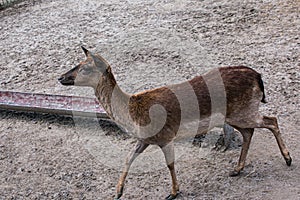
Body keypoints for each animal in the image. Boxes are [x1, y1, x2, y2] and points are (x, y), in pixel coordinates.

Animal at [58, 46, 290, 198]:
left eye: (85, 68)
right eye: (77, 64)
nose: (61, 77)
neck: (132, 114)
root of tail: (258, 76)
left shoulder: (165, 136)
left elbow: (169, 164)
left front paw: (173, 192)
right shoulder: (144, 139)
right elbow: (128, 158)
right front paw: (118, 192)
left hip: (243, 111)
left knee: (272, 120)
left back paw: (287, 159)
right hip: (236, 115)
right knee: (249, 132)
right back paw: (237, 169)